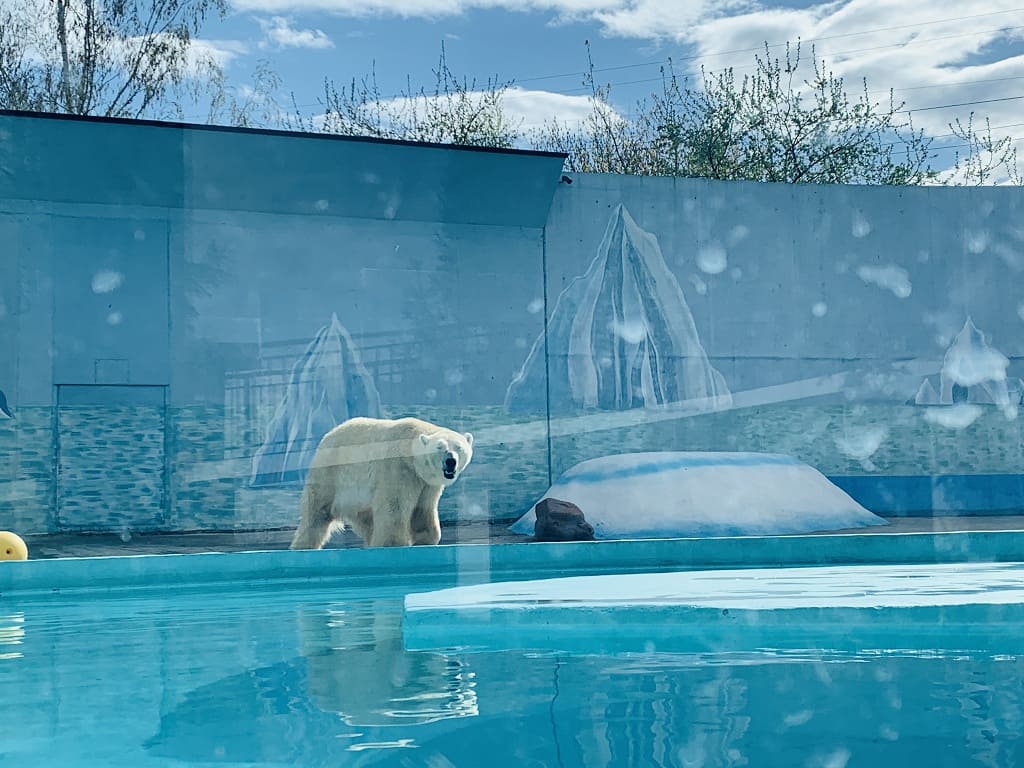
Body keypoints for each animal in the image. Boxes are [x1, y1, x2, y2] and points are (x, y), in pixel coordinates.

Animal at [290, 417, 473, 548]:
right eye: (439, 447)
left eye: (458, 447)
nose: (450, 461)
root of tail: (326, 437)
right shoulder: (397, 468)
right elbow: (394, 505)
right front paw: (394, 542)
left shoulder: (426, 482)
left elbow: (424, 507)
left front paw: (426, 537)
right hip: (331, 472)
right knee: (316, 512)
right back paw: (303, 545)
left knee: (366, 519)